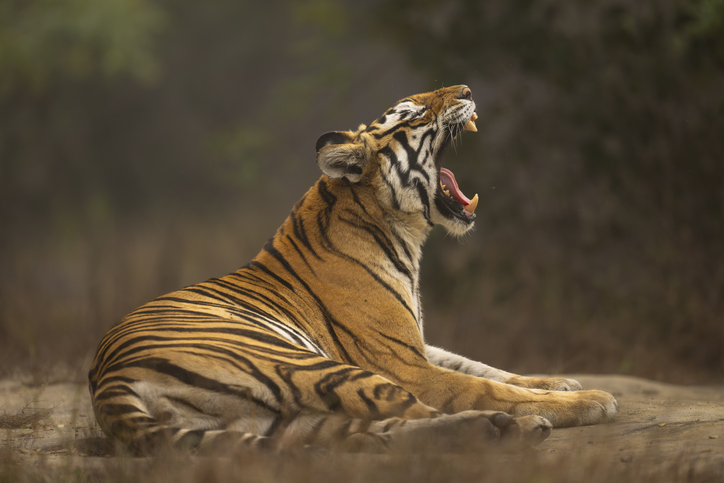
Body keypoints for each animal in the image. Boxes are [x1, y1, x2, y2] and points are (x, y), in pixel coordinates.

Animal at [88, 85, 617, 455]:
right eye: (413, 113)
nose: (467, 91)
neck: (405, 237)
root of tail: (109, 380)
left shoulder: (417, 344)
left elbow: (487, 367)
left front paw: (560, 382)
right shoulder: (402, 361)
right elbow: (481, 385)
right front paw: (588, 399)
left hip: (291, 417)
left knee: (375, 432)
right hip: (318, 367)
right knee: (414, 414)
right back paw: (518, 427)